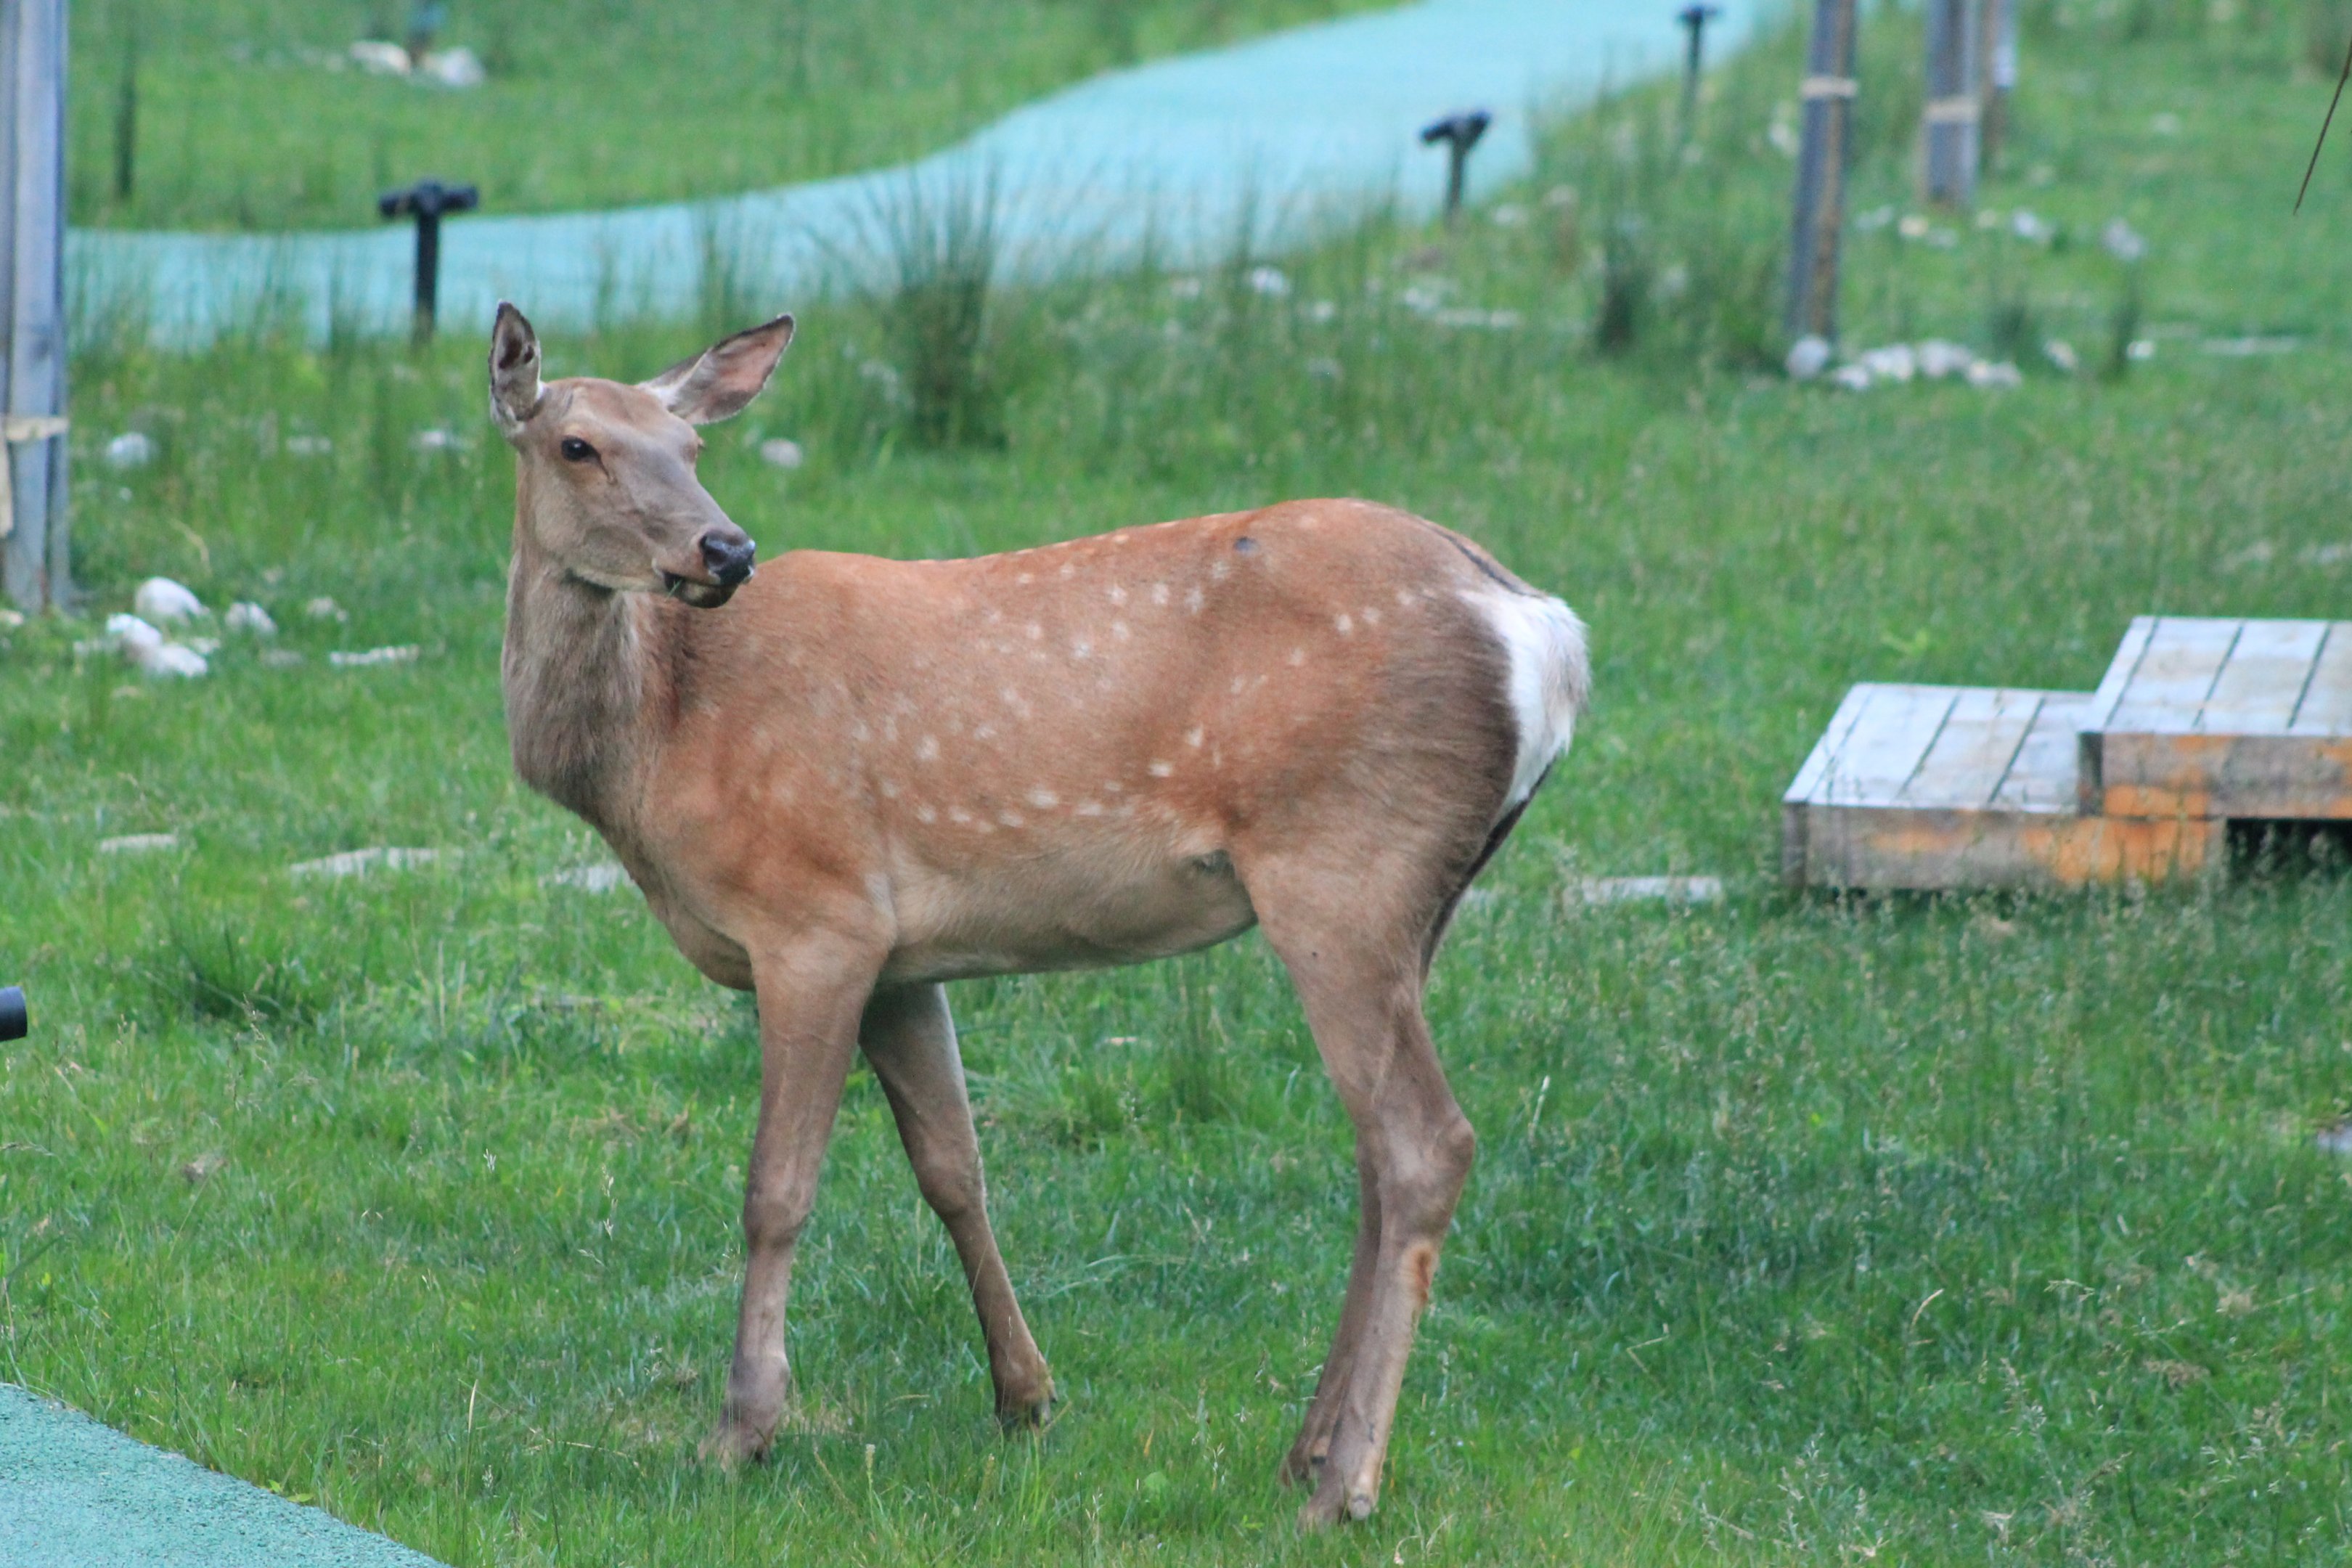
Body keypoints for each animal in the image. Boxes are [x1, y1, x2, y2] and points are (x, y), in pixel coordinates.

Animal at [487, 300, 1587, 1527]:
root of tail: (1546, 633)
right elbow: (953, 1169)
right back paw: (1305, 1452)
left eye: (691, 447)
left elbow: (777, 1187)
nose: (726, 551)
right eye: (579, 445)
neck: (660, 747)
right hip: (1421, 893)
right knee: (1376, 1154)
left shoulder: (815, 913)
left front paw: (742, 1431)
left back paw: (1343, 1487)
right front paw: (1025, 1396)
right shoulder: (901, 955)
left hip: (1344, 863)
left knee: (1425, 1141)